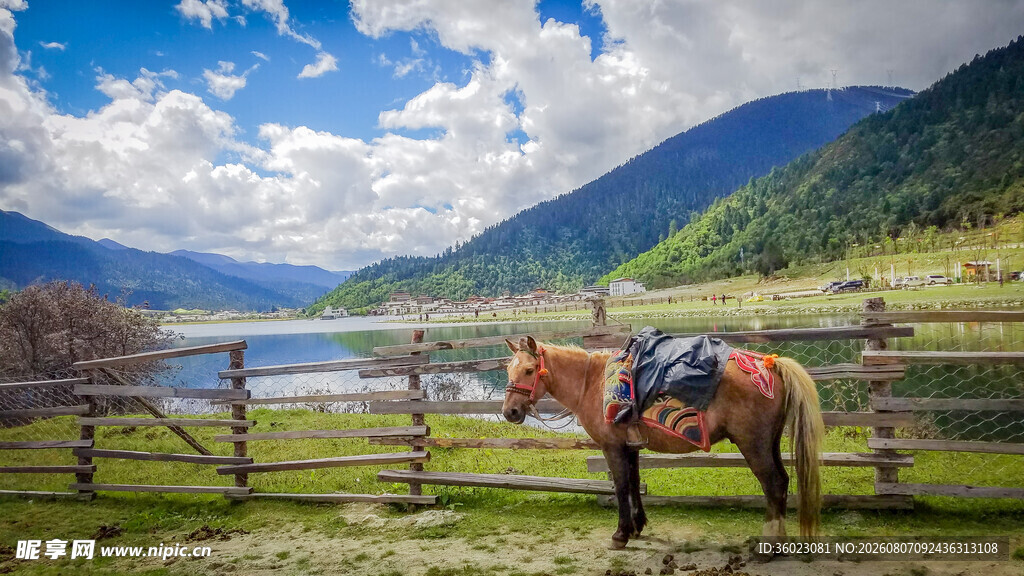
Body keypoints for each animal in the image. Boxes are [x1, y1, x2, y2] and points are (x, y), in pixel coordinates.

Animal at [501, 335, 824, 549]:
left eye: (529, 370)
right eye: (508, 370)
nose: (510, 412)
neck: (592, 383)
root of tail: (770, 365)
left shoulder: (612, 447)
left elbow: (620, 487)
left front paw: (620, 535)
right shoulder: (629, 447)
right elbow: (634, 483)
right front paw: (637, 527)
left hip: (753, 445)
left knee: (773, 485)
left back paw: (769, 544)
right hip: (769, 443)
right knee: (782, 482)